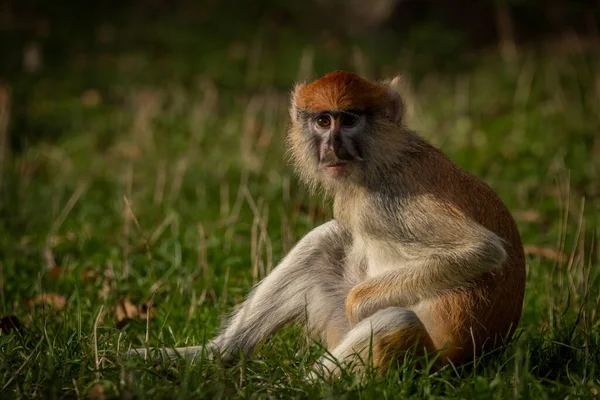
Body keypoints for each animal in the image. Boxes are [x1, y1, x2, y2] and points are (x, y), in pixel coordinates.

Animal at [127, 70, 524, 380]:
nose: (332, 147)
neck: (384, 156)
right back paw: (215, 355)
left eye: (348, 120)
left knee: (395, 321)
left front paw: (358, 306)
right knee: (325, 240)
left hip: (422, 362)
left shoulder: (388, 200)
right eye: (322, 121)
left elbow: (482, 250)